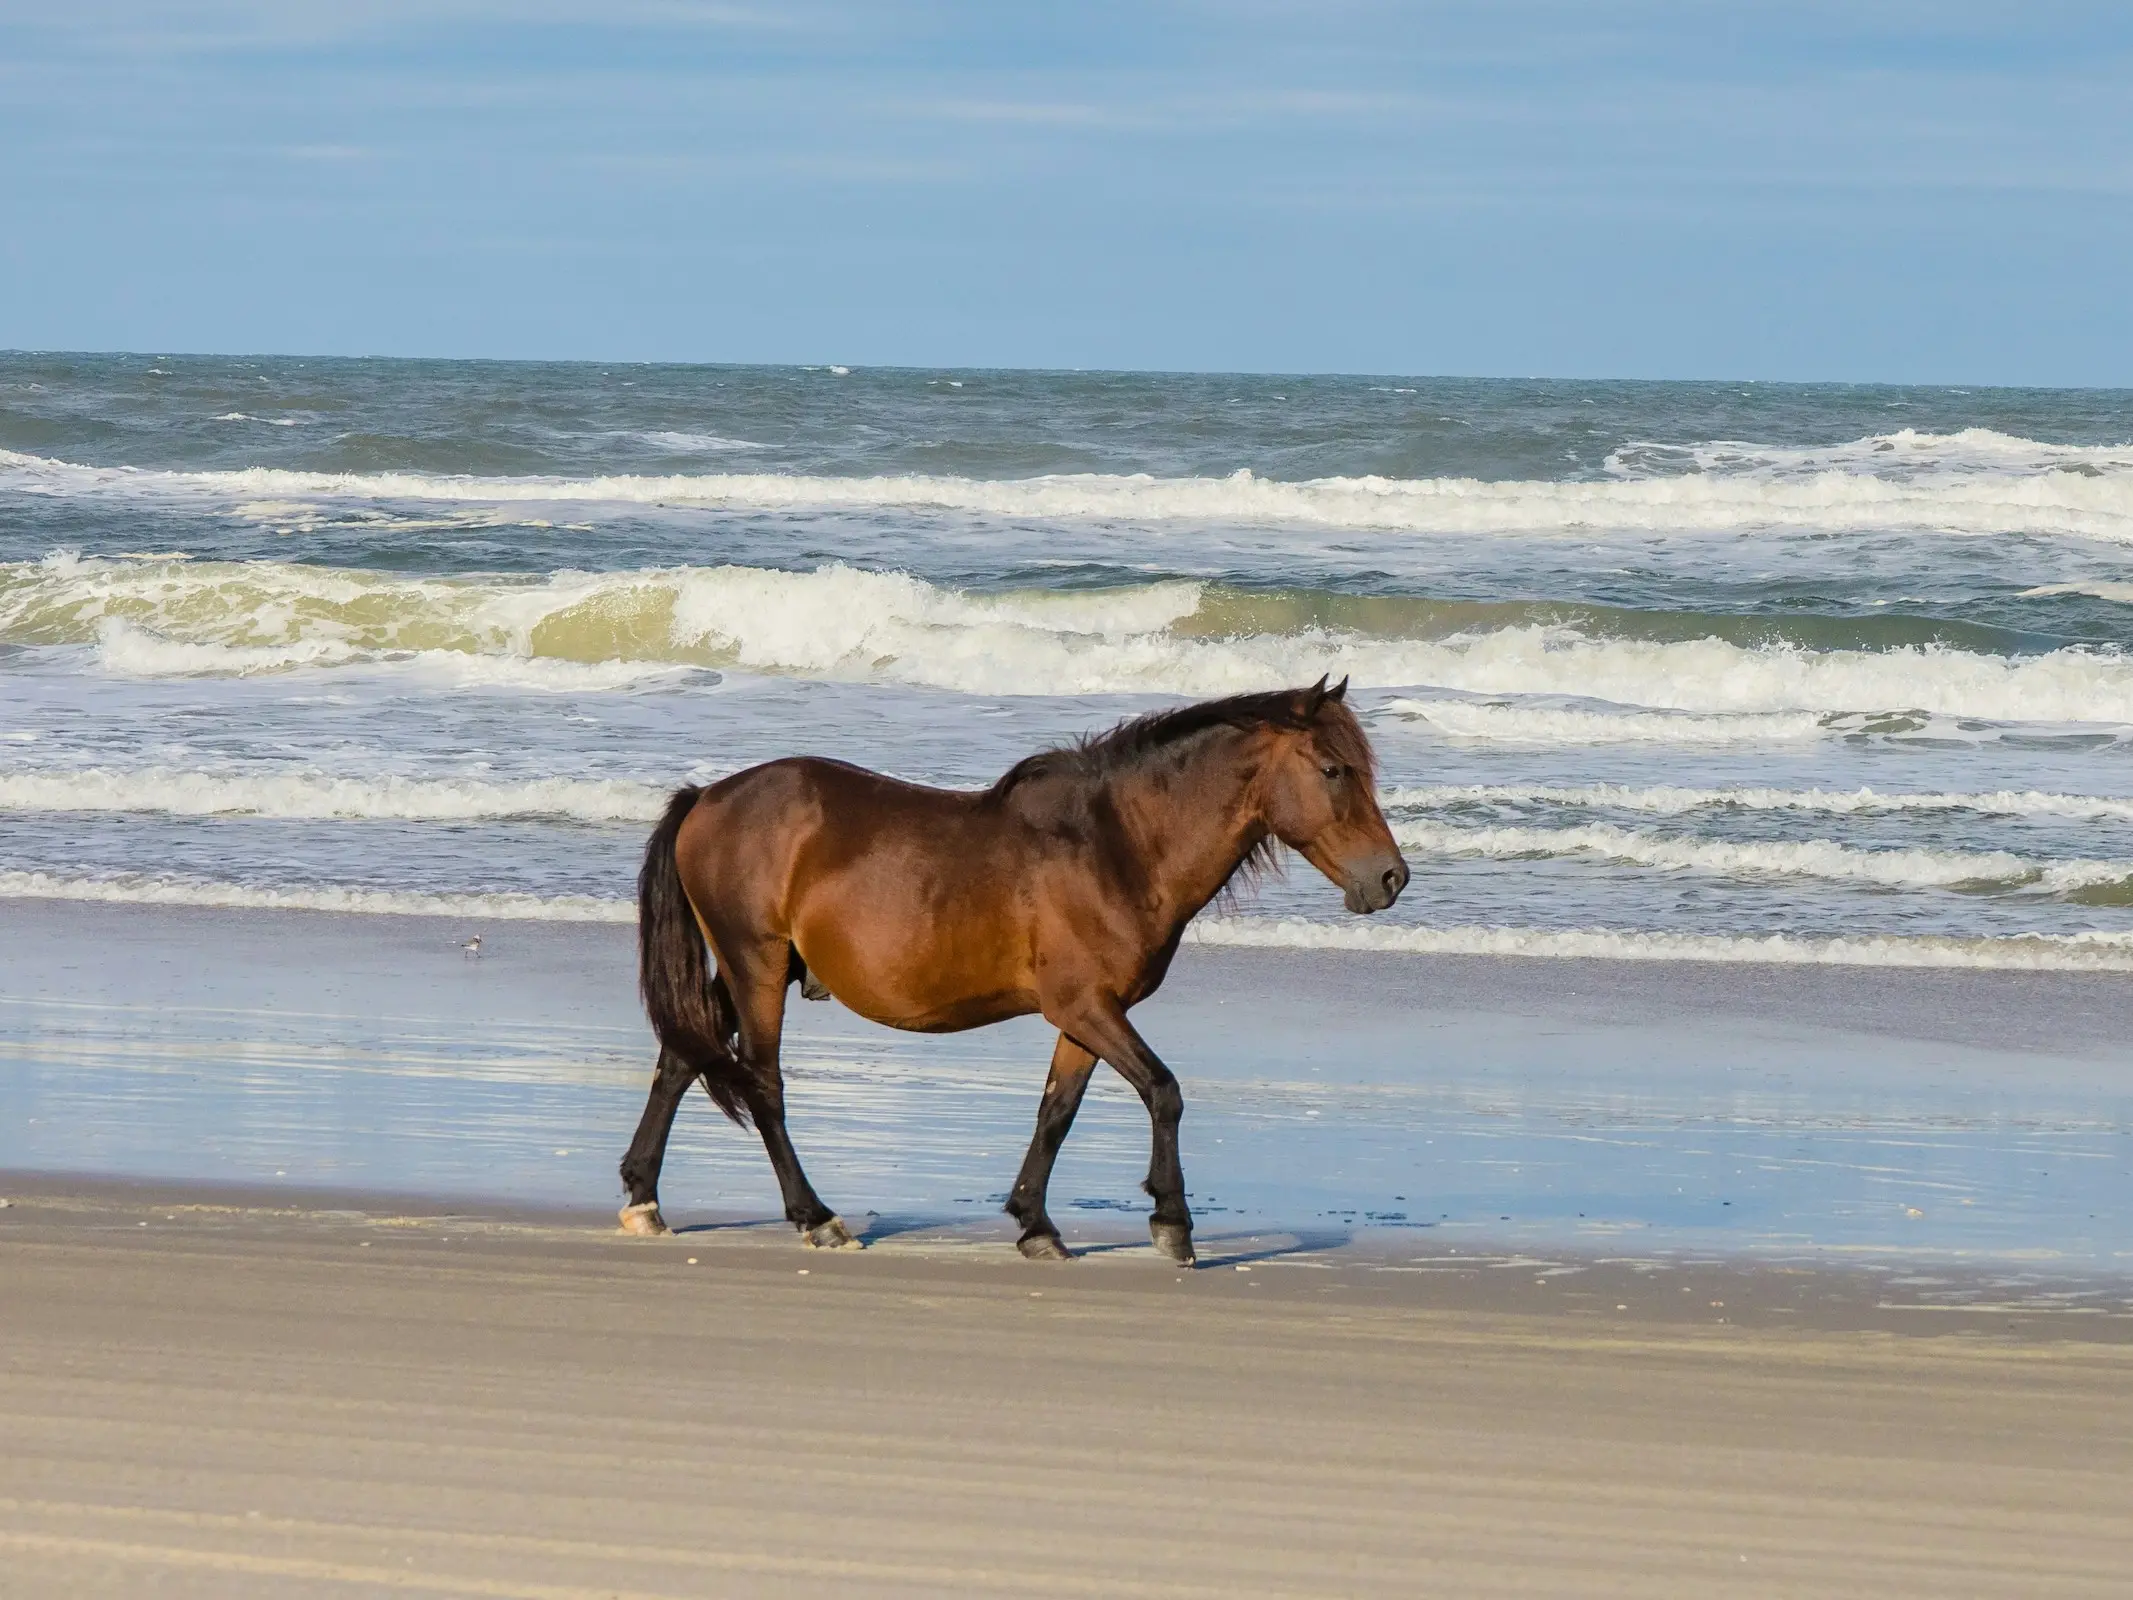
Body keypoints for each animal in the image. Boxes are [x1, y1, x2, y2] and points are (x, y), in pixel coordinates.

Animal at [618, 678, 1407, 1262]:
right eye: (1333, 770)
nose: (1391, 878)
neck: (1114, 847)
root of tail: (707, 797)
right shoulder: (1084, 1006)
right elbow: (1164, 1092)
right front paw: (1172, 1223)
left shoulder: (1088, 1014)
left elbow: (1056, 1111)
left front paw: (1035, 1223)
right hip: (755, 964)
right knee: (762, 1084)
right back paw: (815, 1216)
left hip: (761, 969)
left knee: (679, 1060)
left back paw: (643, 1199)